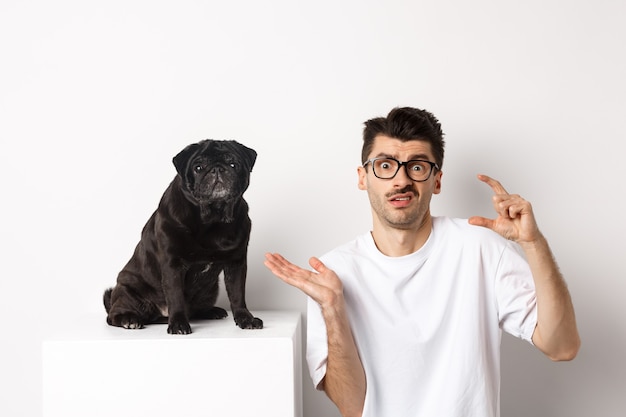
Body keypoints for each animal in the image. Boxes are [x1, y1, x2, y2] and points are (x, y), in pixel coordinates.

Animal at [102, 138, 260, 334]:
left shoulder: (236, 263)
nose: (217, 169)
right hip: (128, 291)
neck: (212, 219)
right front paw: (178, 324)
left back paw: (211, 311)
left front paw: (245, 319)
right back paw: (129, 319)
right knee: (113, 316)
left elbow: (238, 294)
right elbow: (175, 296)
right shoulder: (173, 265)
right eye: (198, 167)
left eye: (233, 164)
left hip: (210, 290)